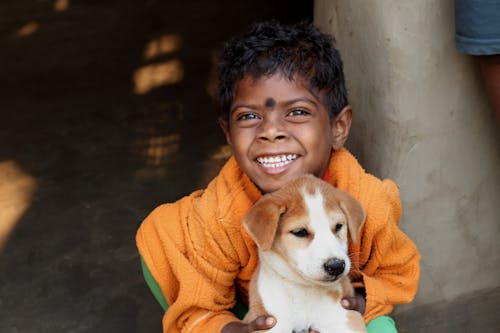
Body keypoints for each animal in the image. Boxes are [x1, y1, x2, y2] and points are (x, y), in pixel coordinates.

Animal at [243, 174, 368, 332]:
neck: (304, 289)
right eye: (300, 232)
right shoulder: (270, 322)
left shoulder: (345, 316)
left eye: (338, 226)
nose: (336, 266)